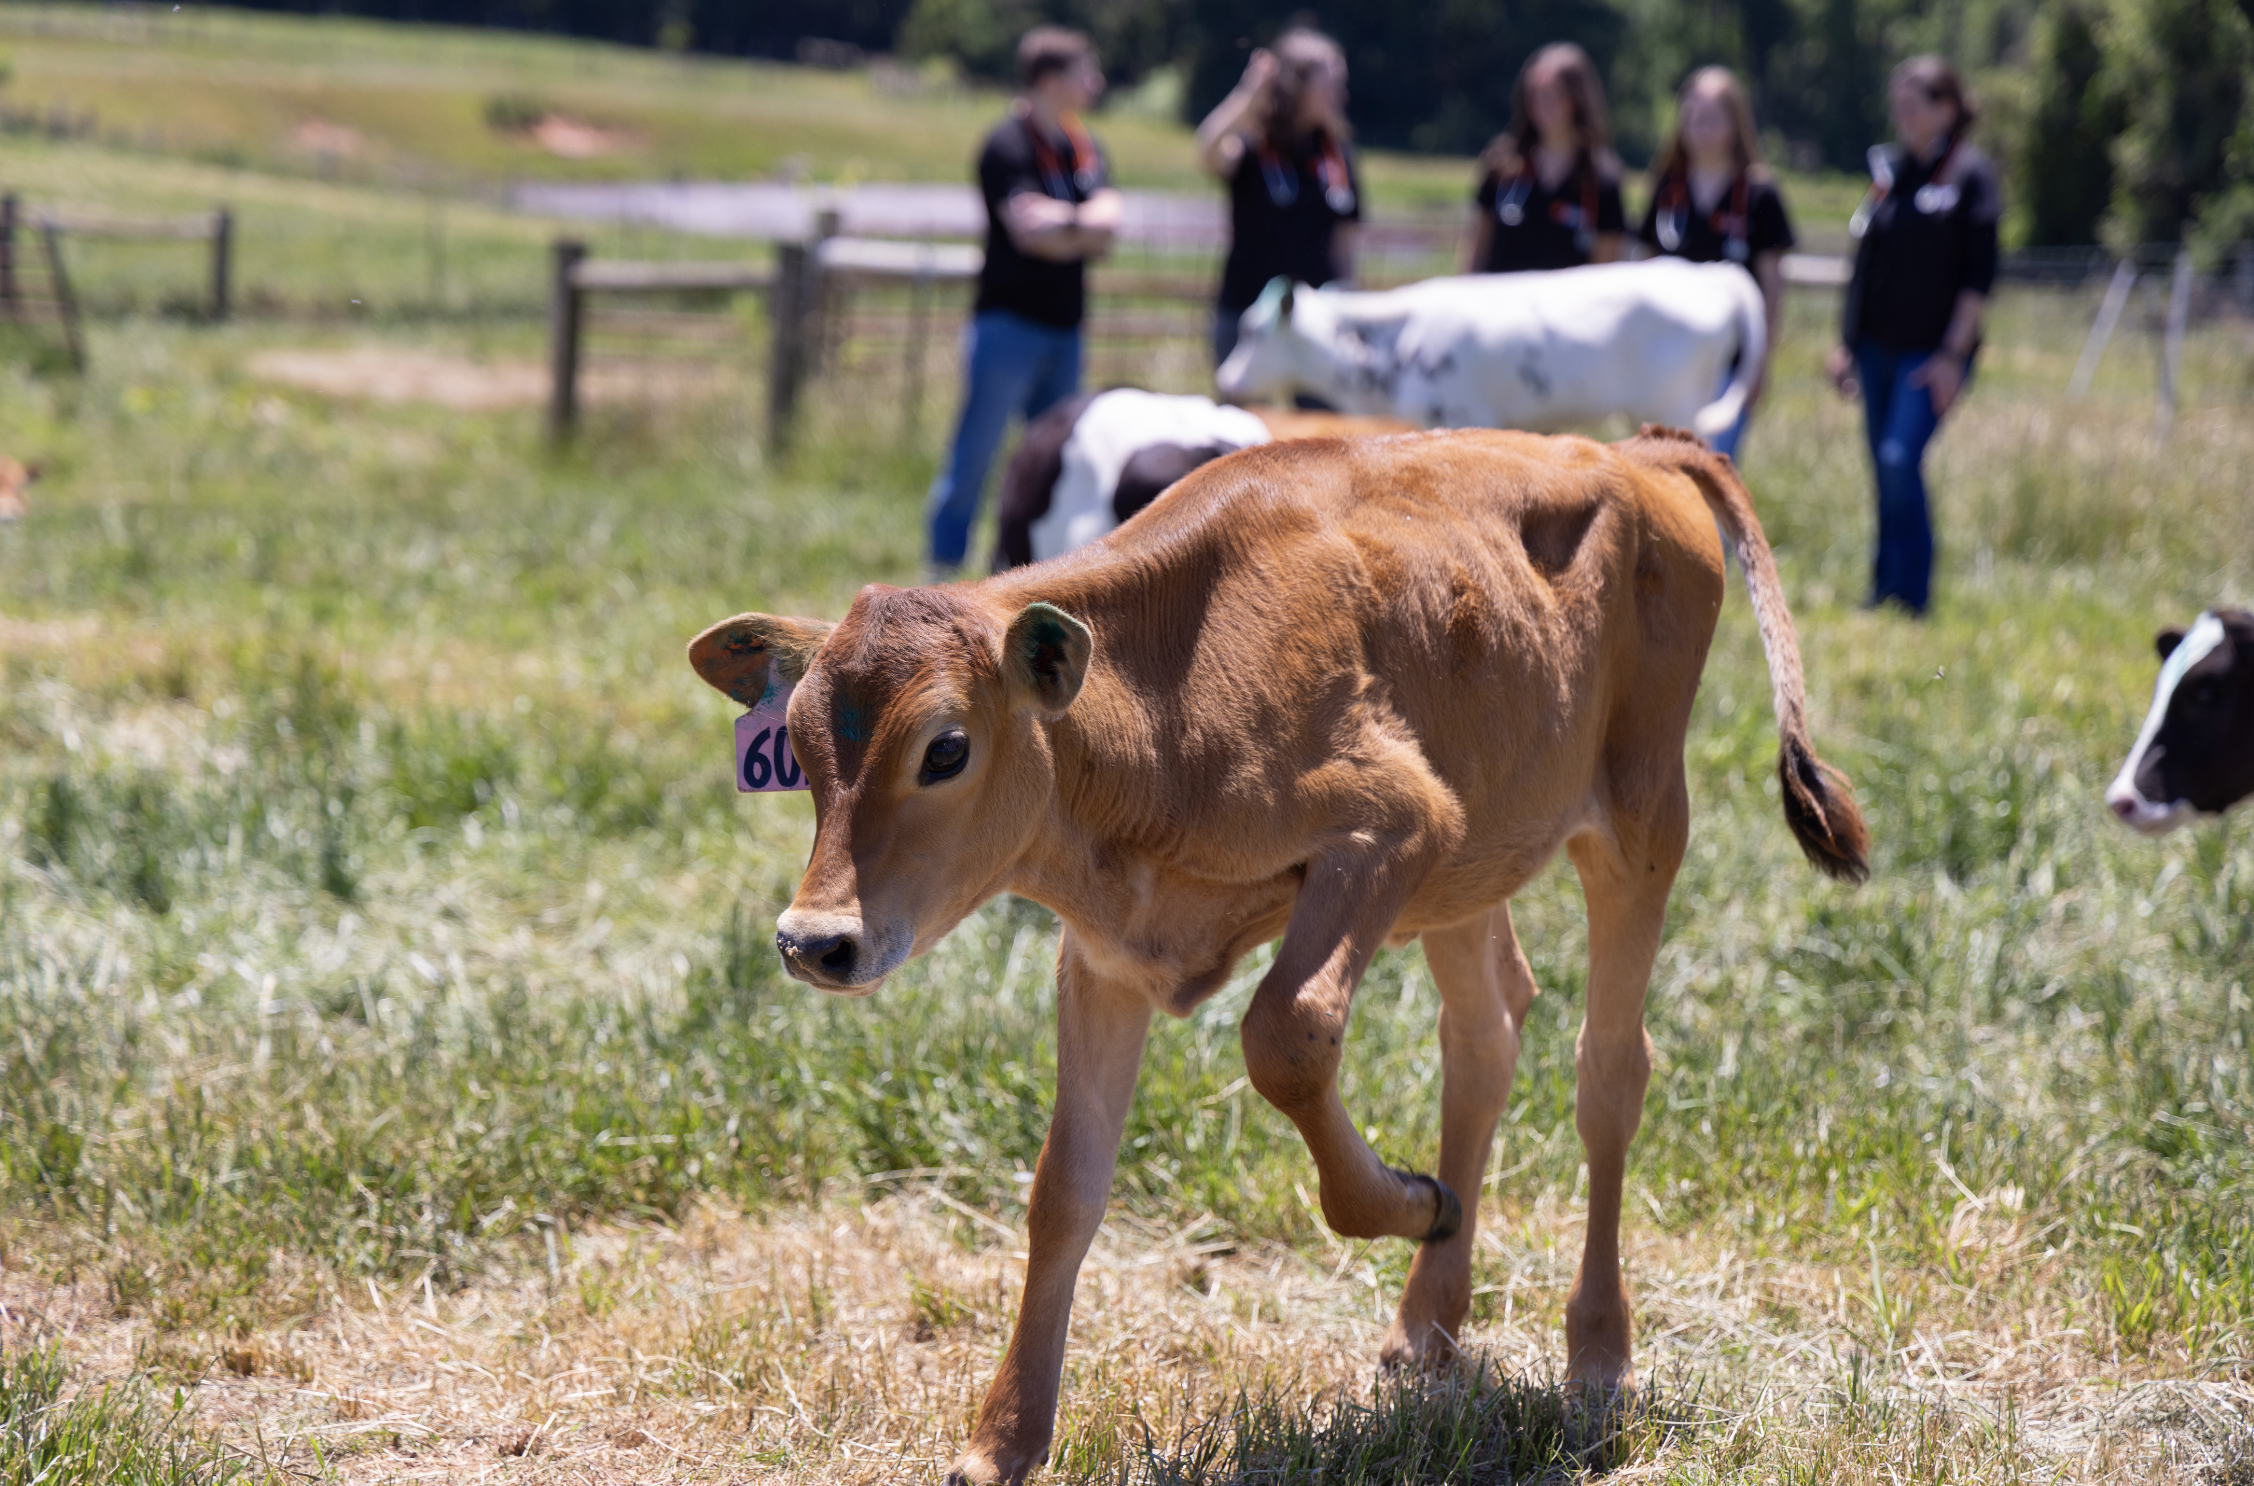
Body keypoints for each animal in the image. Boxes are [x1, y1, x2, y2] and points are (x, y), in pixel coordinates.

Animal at [688, 426, 1867, 1486]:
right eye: (800, 750)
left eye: (945, 747)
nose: (815, 940)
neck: (1164, 698)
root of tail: (1631, 453)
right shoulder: (1107, 958)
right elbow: (1066, 1186)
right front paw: (1002, 1442)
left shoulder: (1394, 826)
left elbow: (1285, 1035)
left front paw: (1409, 1200)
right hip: (1469, 873)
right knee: (1485, 1034)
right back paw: (1427, 1330)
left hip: (1640, 818)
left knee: (1608, 1071)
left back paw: (1597, 1355)